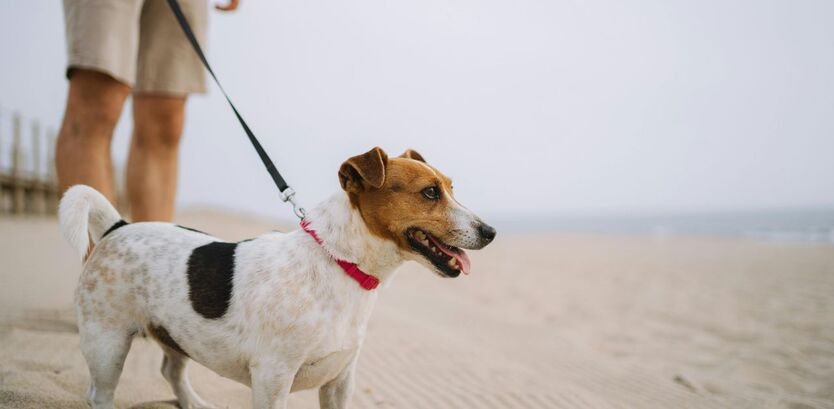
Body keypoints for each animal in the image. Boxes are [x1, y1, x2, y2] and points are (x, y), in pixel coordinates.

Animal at [59, 147, 496, 409]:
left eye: (450, 188)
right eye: (429, 193)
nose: (491, 232)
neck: (338, 264)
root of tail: (116, 227)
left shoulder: (340, 380)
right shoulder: (272, 378)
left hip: (175, 334)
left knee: (171, 371)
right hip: (107, 343)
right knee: (100, 392)